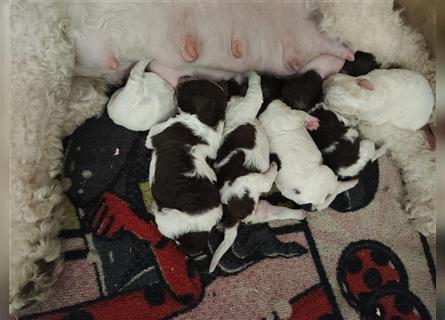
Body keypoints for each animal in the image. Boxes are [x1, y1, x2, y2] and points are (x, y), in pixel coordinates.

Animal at [146, 79, 227, 255]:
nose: (180, 80)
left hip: (166, 217)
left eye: (188, 88)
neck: (209, 121)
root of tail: (201, 235)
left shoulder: (156, 134)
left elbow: (153, 132)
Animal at [208, 72, 306, 272]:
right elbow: (255, 91)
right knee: (267, 183)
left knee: (275, 212)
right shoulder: (248, 105)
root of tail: (231, 219)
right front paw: (253, 75)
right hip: (250, 181)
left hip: (258, 211)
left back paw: (300, 214)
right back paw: (274, 167)